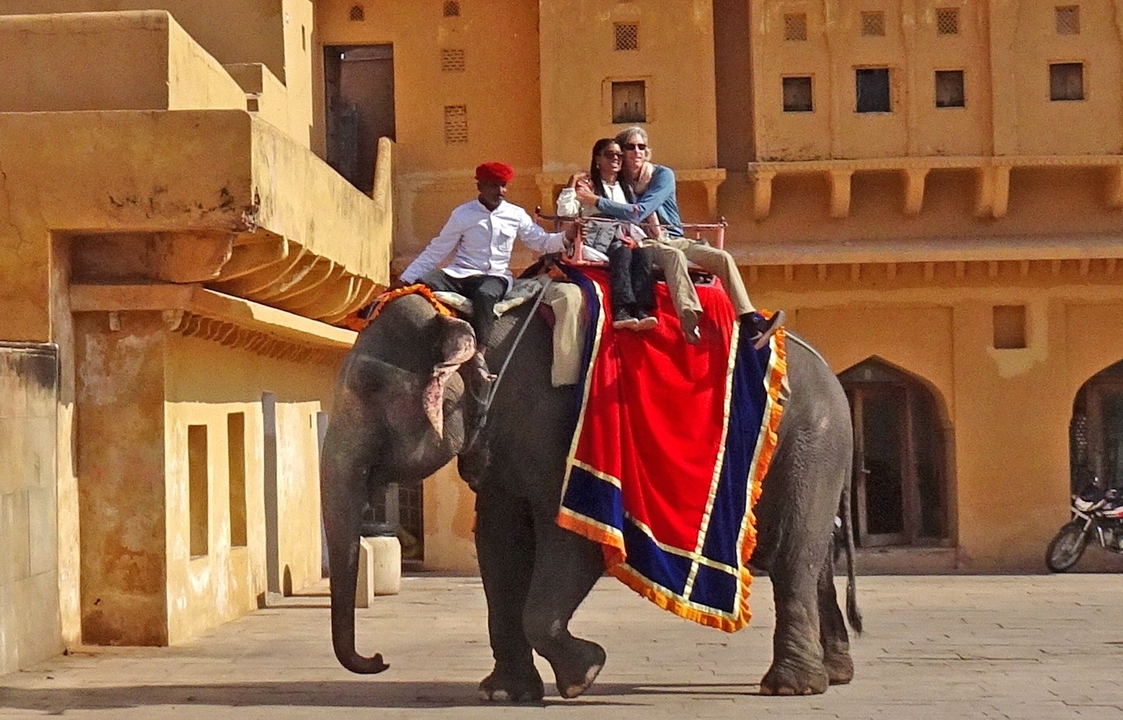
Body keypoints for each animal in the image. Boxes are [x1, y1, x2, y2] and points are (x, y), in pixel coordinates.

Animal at [320, 288, 862, 700]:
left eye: (370, 386)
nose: (378, 659)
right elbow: (498, 544)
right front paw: (505, 694)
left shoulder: (560, 430)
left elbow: (570, 541)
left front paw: (586, 674)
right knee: (810, 556)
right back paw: (834, 675)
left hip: (815, 437)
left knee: (793, 552)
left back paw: (791, 688)